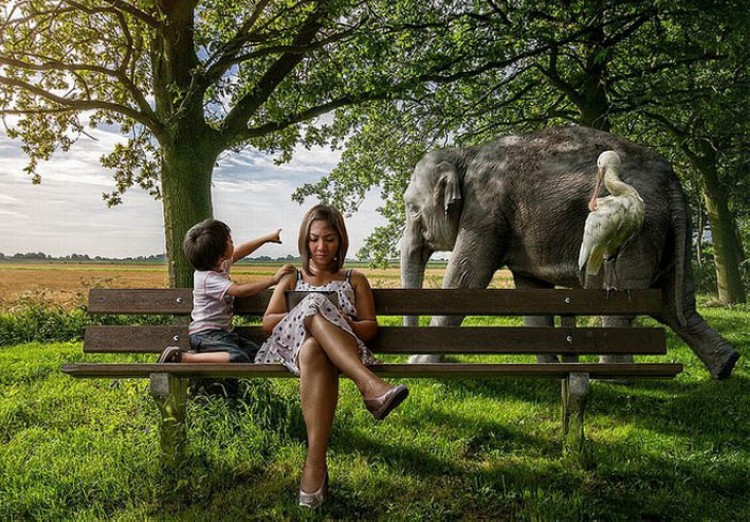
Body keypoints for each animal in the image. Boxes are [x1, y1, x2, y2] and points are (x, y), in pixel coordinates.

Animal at [402, 126, 744, 378]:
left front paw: (417, 366)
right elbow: (531, 293)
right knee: (677, 305)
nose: (406, 355)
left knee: (622, 302)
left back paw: (613, 377)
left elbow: (466, 278)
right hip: (672, 235)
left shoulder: (486, 209)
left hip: (637, 235)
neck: (464, 154)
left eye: (411, 208)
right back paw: (726, 365)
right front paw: (550, 369)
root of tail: (673, 184)